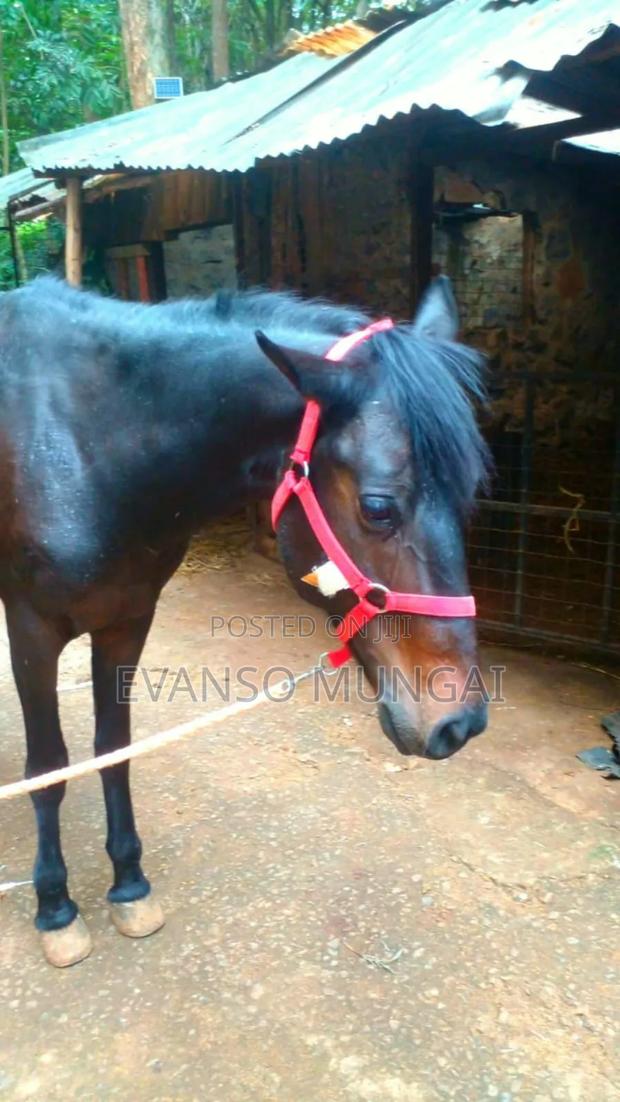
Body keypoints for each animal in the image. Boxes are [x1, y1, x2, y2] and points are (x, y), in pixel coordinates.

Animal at [0, 274, 489, 967]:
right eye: (378, 507)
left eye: (469, 491)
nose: (459, 723)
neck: (87, 445)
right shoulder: (33, 632)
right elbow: (49, 770)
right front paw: (54, 905)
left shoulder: (126, 621)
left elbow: (114, 751)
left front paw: (128, 883)